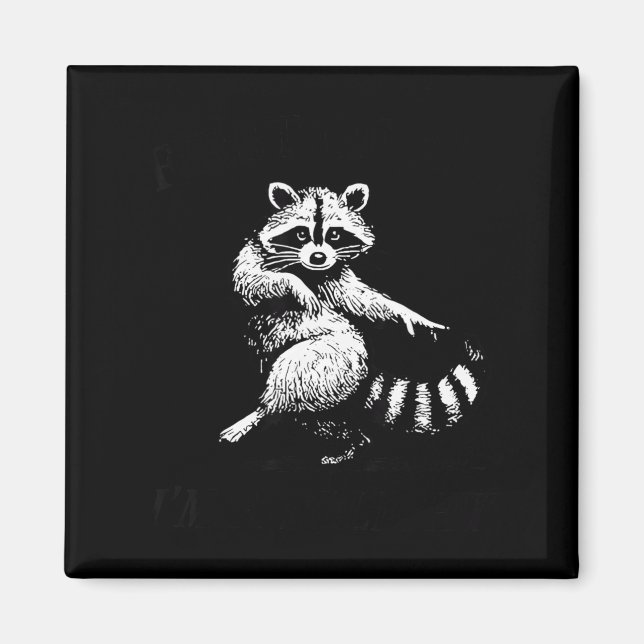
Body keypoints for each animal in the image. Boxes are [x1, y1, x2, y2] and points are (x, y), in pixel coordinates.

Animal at [220, 182, 485, 464]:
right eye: (301, 233)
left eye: (334, 235)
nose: (318, 257)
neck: (312, 271)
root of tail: (361, 367)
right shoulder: (252, 255)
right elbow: (254, 280)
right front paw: (295, 284)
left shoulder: (338, 278)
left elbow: (367, 301)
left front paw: (414, 317)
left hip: (332, 354)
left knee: (291, 372)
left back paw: (271, 410)